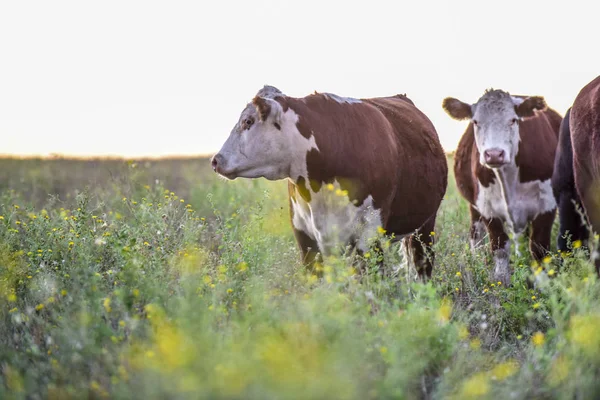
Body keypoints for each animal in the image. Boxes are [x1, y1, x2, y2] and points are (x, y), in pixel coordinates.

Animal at [211, 84, 446, 278]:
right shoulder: (304, 235)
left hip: (425, 226)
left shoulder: (369, 234)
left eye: (248, 121)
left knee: (422, 267)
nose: (216, 160)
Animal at [440, 90, 564, 284]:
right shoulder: (488, 208)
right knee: (476, 234)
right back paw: (477, 261)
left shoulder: (547, 205)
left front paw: (543, 283)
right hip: (474, 207)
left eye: (513, 120)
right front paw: (502, 281)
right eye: (476, 122)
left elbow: (539, 248)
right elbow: (499, 247)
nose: (494, 154)